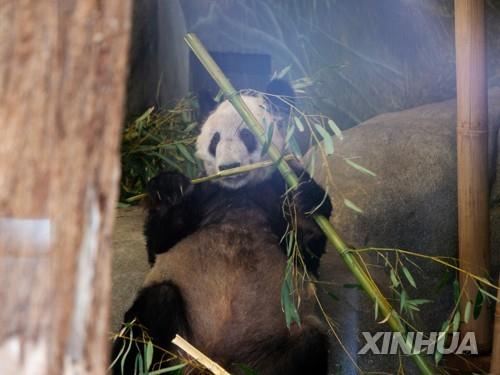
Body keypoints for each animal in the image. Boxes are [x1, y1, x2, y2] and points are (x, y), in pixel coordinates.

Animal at [113, 81, 332, 374]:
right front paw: (169, 188)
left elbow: (308, 253)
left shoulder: (278, 189)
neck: (240, 192)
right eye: (215, 140)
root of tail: (213, 358)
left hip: (275, 345)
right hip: (175, 339)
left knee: (309, 344)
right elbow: (159, 244)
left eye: (247, 136)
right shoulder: (205, 193)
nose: (229, 167)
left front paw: (308, 200)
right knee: (149, 317)